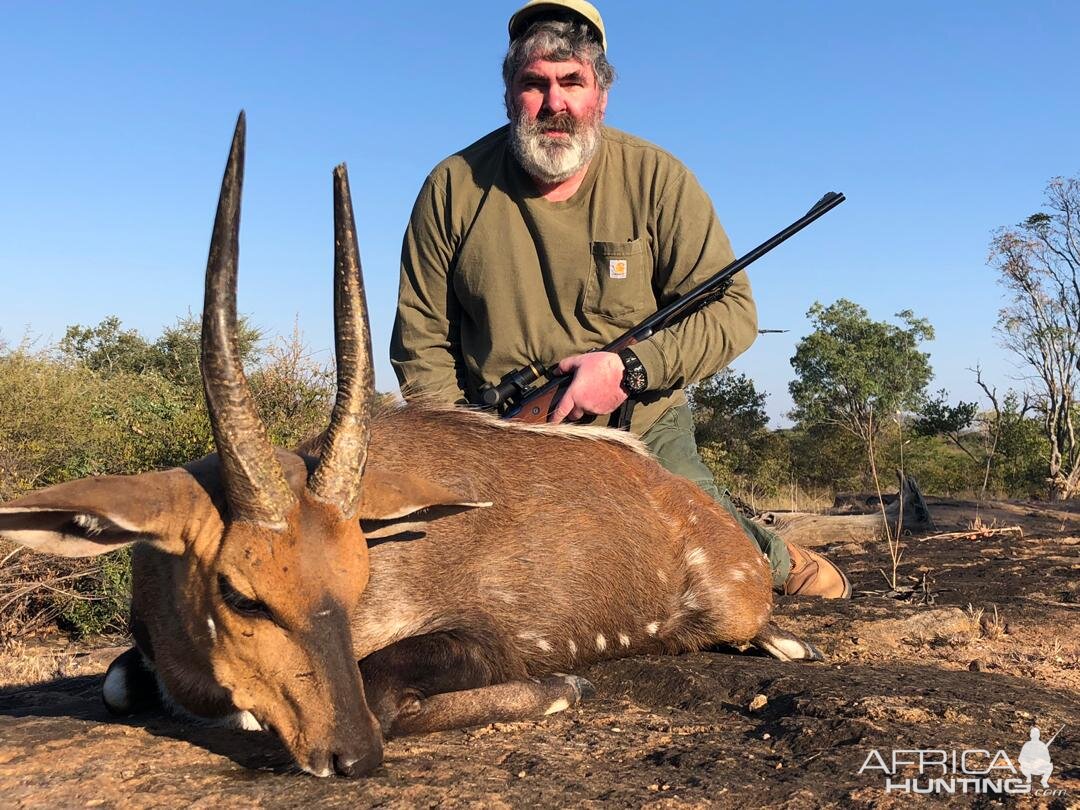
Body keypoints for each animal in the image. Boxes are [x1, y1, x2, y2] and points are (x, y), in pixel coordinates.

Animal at [0, 114, 812, 781]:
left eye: (357, 572)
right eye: (239, 591)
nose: (350, 755)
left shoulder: (481, 634)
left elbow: (391, 691)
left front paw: (564, 687)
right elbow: (115, 684)